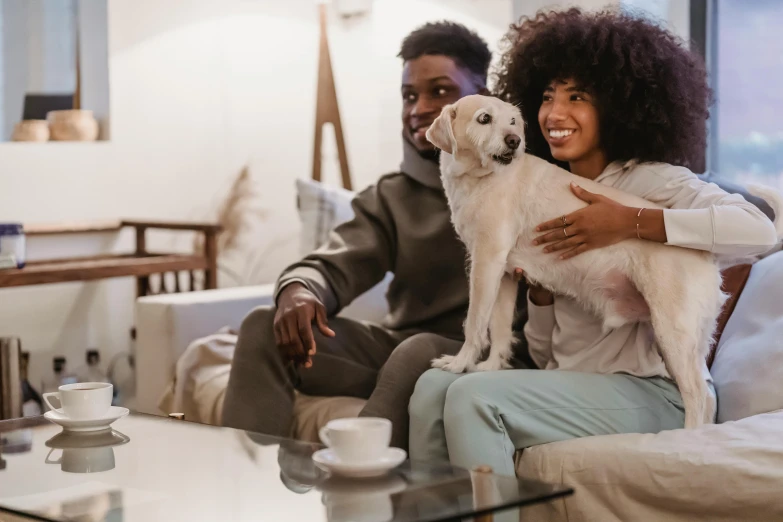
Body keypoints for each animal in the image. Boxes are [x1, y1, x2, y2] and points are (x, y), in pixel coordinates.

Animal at [428, 93, 783, 426]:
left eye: (513, 121)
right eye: (484, 119)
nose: (514, 140)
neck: (481, 178)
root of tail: (709, 255)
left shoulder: (486, 261)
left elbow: (474, 322)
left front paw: (459, 363)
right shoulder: (503, 274)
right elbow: (500, 327)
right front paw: (491, 366)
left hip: (674, 332)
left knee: (698, 394)